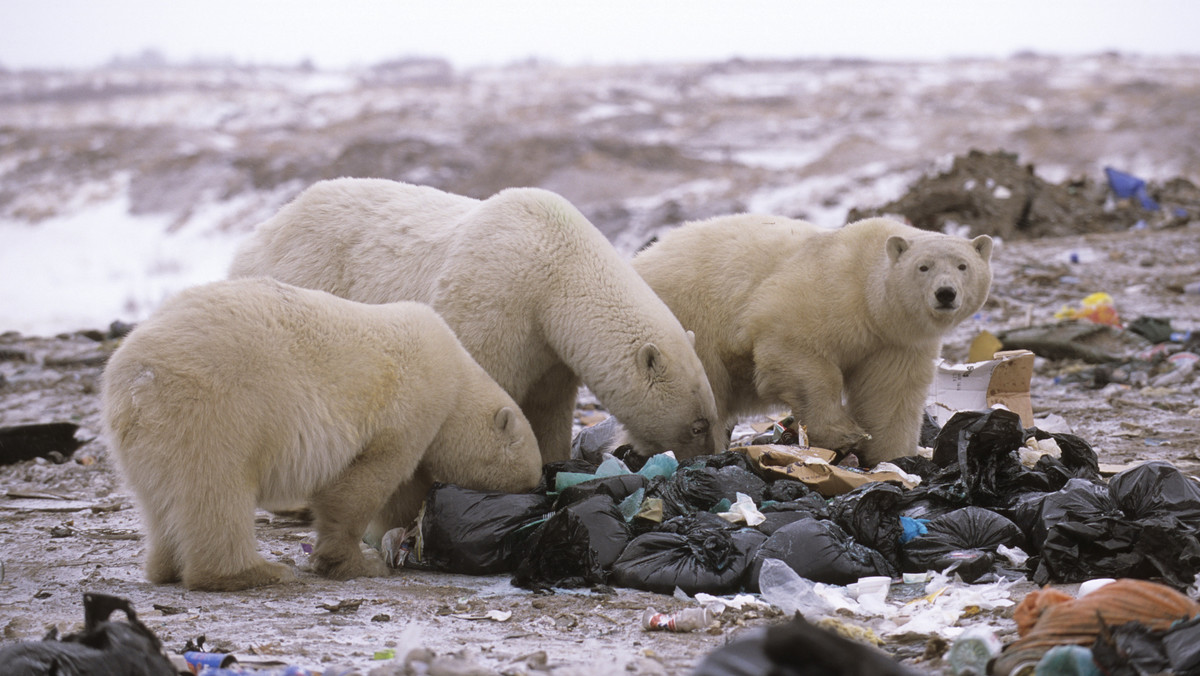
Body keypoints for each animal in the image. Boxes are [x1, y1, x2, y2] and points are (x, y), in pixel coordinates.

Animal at [100, 277, 542, 590]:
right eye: (529, 479)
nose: (534, 492)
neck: (457, 377)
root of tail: (134, 376)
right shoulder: (410, 407)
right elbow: (364, 483)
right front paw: (356, 562)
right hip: (216, 409)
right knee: (216, 491)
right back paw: (253, 573)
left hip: (145, 433)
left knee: (160, 500)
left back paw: (165, 568)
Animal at [230, 178, 724, 465]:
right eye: (698, 424)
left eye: (714, 415)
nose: (715, 455)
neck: (557, 271)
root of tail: (257, 234)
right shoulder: (496, 299)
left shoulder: (549, 348)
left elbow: (548, 408)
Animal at [633, 217, 988, 465]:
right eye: (923, 267)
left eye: (963, 266)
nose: (945, 293)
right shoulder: (825, 293)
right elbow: (796, 352)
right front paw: (845, 434)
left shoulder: (895, 342)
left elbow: (889, 394)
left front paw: (894, 456)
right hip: (688, 321)